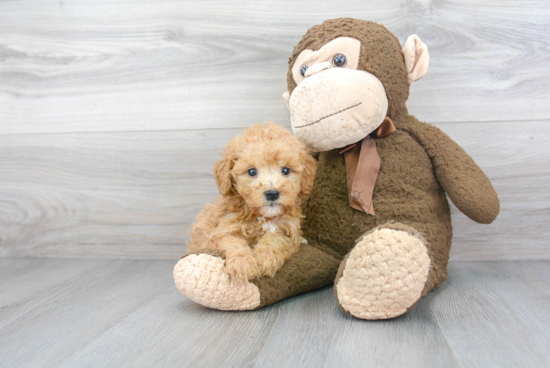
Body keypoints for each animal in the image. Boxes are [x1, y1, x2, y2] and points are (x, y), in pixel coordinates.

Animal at [190, 123, 320, 282]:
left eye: (285, 170)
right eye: (252, 172)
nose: (272, 193)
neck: (262, 217)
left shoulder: (288, 230)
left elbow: (275, 238)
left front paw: (265, 258)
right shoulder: (222, 230)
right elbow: (232, 241)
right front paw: (243, 263)